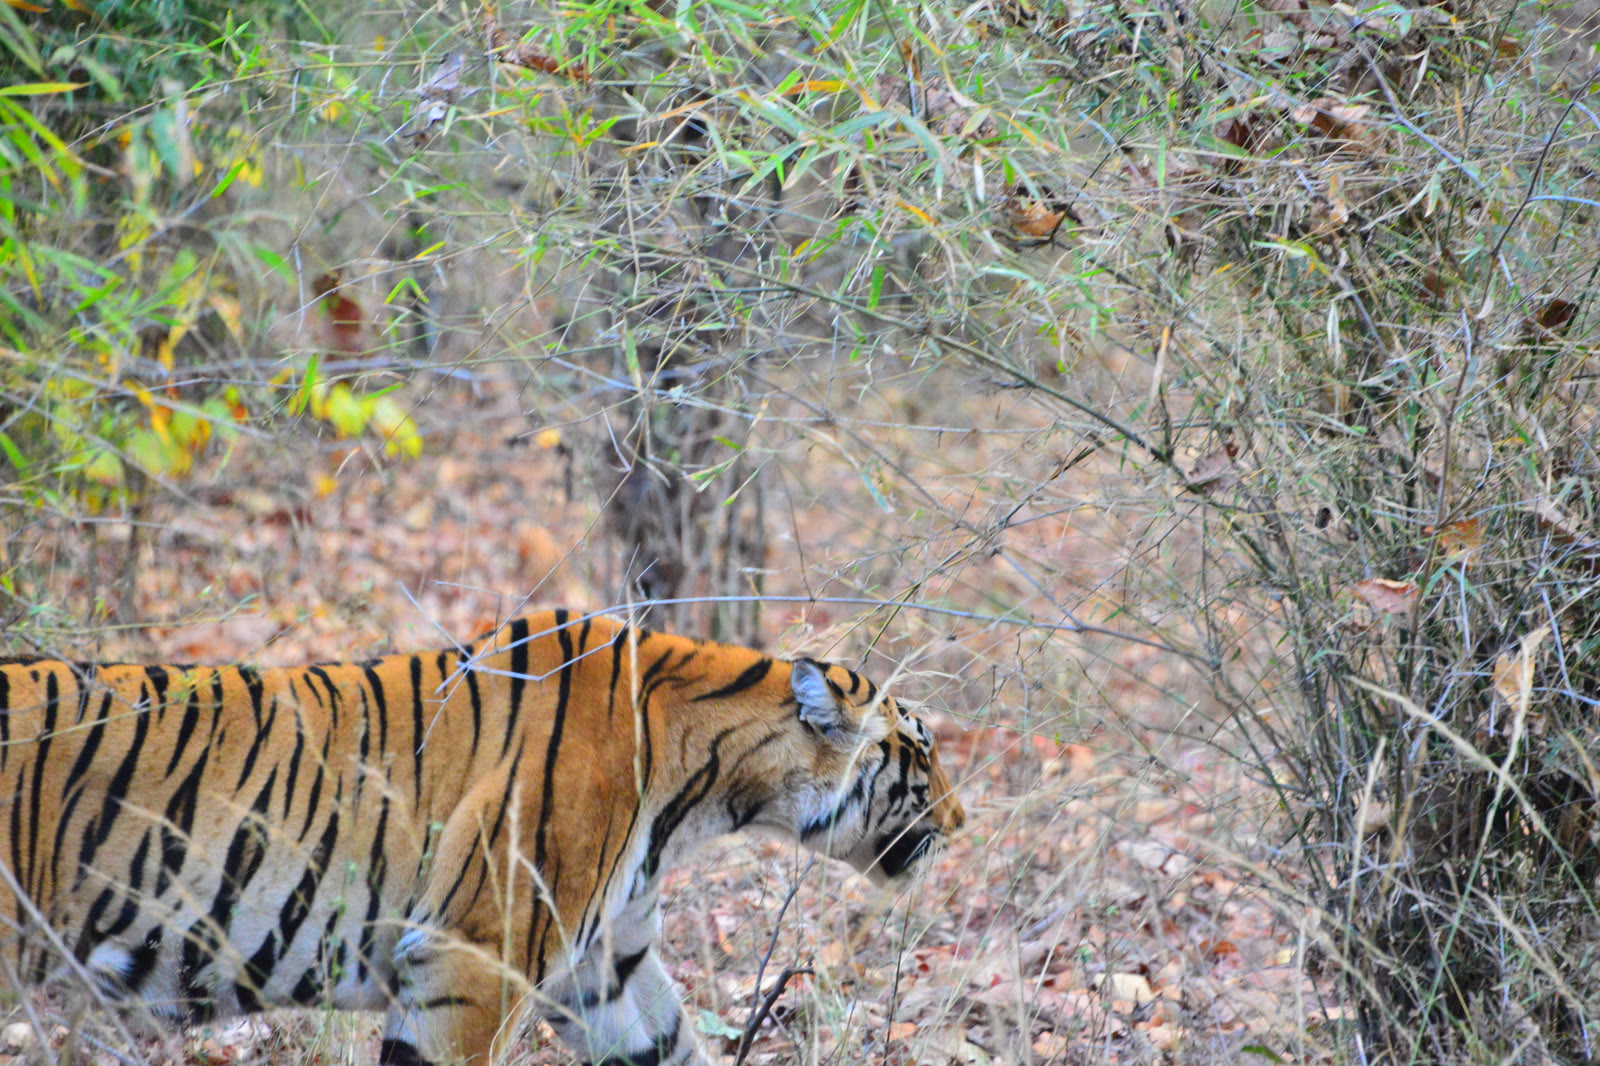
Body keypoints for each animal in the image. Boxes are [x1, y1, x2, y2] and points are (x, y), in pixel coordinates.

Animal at [0, 608, 964, 1065]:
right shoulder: (475, 955)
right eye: (921, 749)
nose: (960, 826)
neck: (702, 787)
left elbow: (671, 1044)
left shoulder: (604, 966)